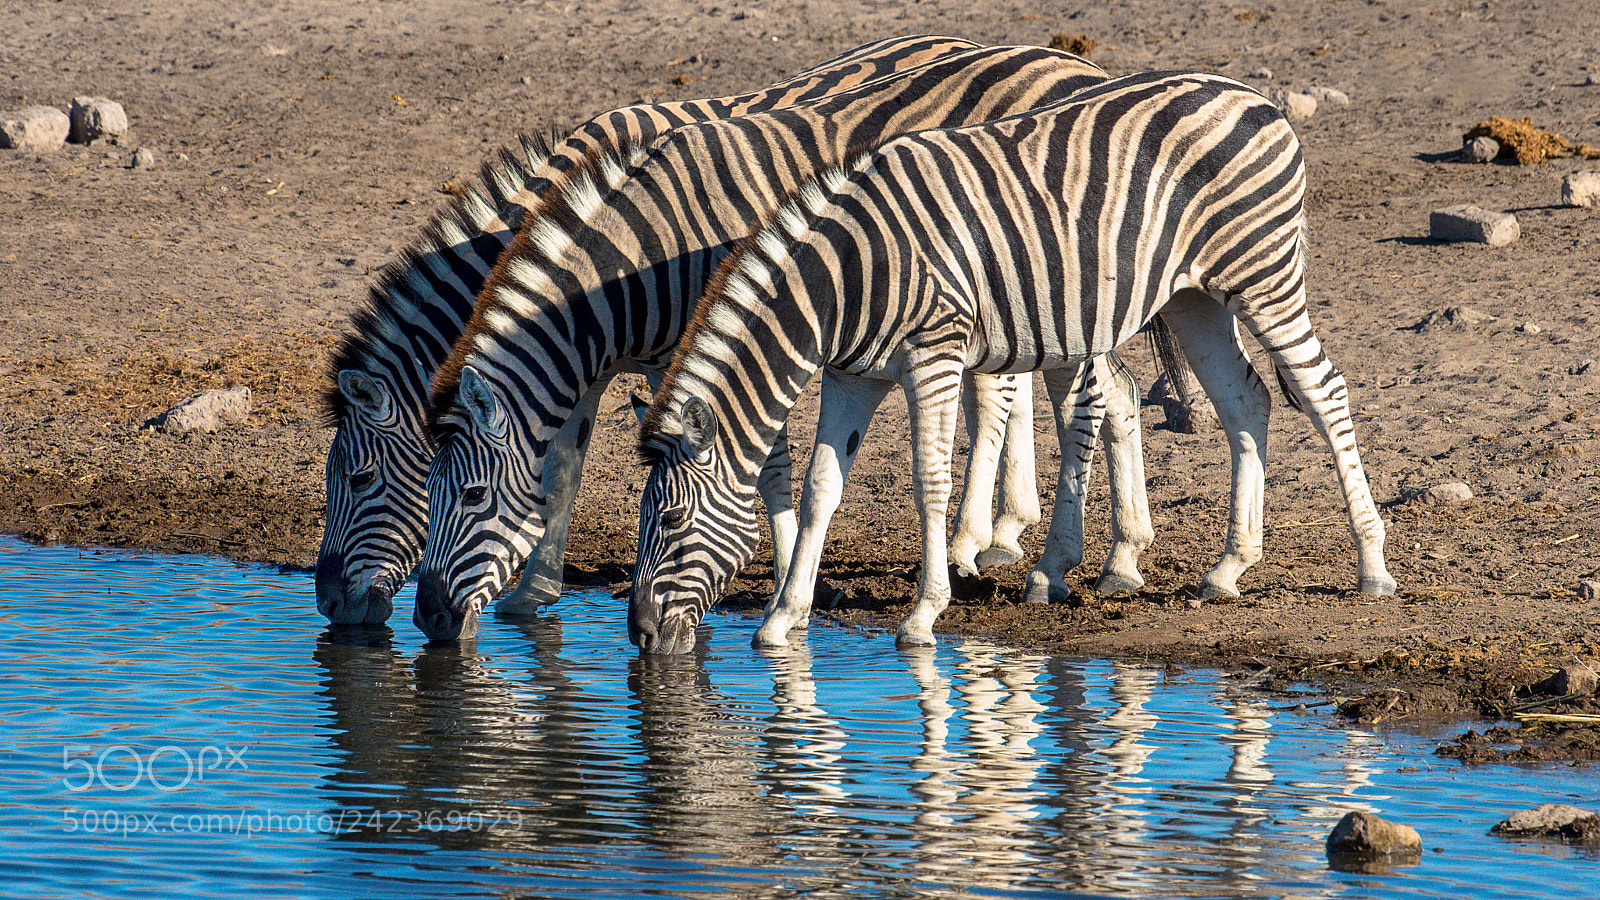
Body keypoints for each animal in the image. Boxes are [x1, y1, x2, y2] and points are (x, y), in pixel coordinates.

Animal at [313, 35, 984, 626]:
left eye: (359, 479)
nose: (328, 605)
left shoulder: (708, 349)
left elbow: (763, 467)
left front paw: (783, 579)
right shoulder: (579, 362)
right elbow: (562, 469)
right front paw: (535, 592)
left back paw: (981, 543)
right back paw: (983, 541)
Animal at [634, 70, 1397, 654]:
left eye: (669, 524)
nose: (638, 634)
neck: (847, 276)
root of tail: (1255, 97)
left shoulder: (935, 354)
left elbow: (930, 481)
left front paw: (923, 614)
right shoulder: (853, 374)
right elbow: (823, 486)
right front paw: (782, 619)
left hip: (1264, 273)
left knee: (1323, 389)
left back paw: (1371, 565)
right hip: (1194, 296)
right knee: (1247, 400)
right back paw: (1229, 567)